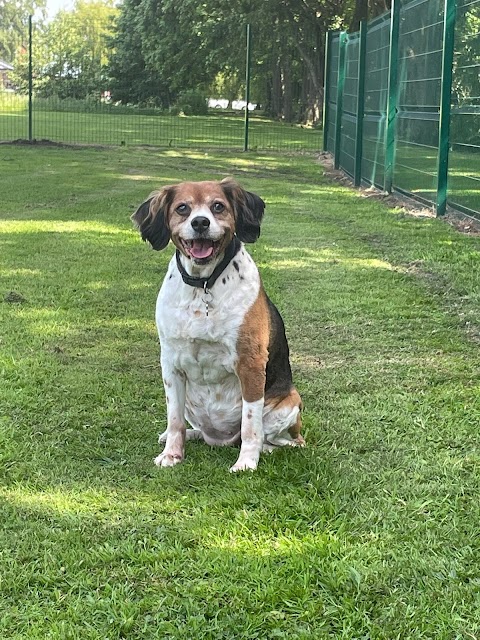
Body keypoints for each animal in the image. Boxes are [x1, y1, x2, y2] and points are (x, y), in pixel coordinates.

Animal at [131, 178, 304, 472]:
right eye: (183, 208)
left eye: (218, 206)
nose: (200, 222)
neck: (203, 284)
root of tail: (221, 439)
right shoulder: (170, 364)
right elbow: (174, 419)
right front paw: (172, 453)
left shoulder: (250, 364)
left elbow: (251, 425)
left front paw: (247, 462)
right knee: (193, 428)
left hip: (289, 404)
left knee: (285, 440)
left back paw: (265, 449)